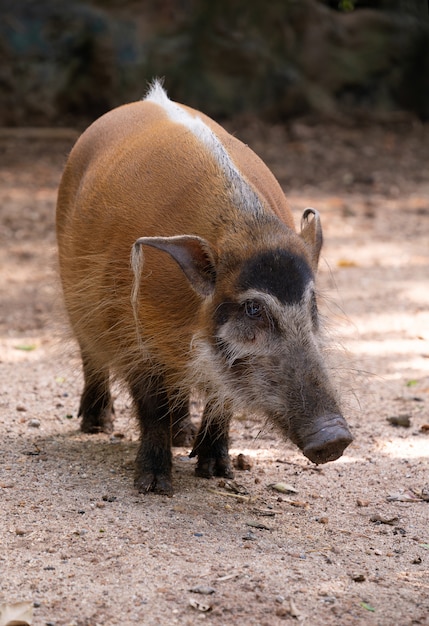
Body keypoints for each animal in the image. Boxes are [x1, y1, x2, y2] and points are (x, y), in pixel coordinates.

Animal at [56, 81, 352, 492]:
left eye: (312, 305)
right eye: (253, 308)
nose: (335, 438)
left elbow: (221, 399)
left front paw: (217, 471)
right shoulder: (133, 331)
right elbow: (151, 405)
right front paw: (152, 485)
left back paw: (183, 435)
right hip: (76, 297)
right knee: (91, 355)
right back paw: (96, 425)